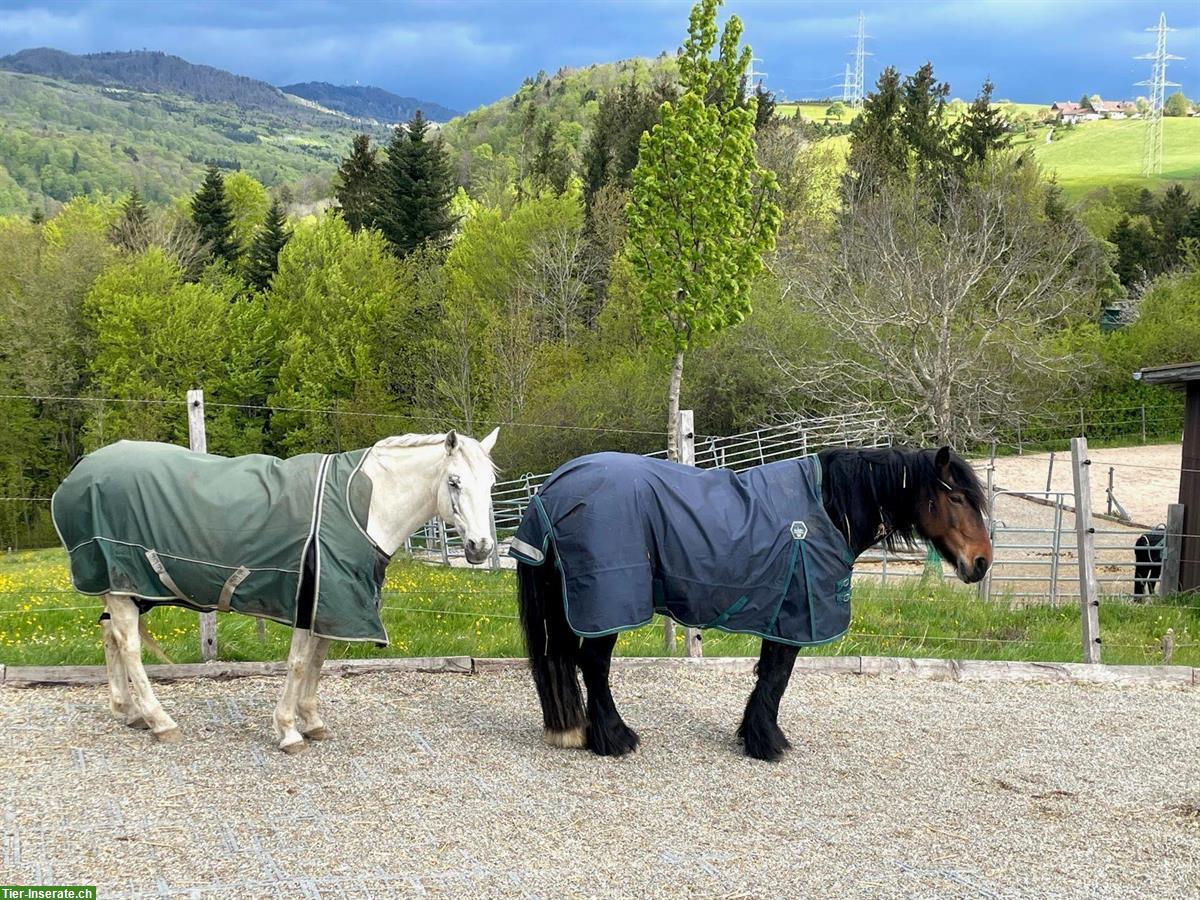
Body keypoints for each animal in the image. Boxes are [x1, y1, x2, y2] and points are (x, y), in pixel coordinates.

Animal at [87, 429, 494, 753]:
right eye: (454, 481)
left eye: (490, 485)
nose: (481, 547)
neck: (363, 507)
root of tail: (85, 468)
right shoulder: (309, 601)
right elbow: (299, 663)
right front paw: (288, 731)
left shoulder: (331, 607)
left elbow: (317, 661)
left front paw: (312, 722)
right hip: (124, 586)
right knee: (129, 645)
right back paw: (160, 721)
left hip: (128, 590)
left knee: (110, 635)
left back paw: (129, 712)